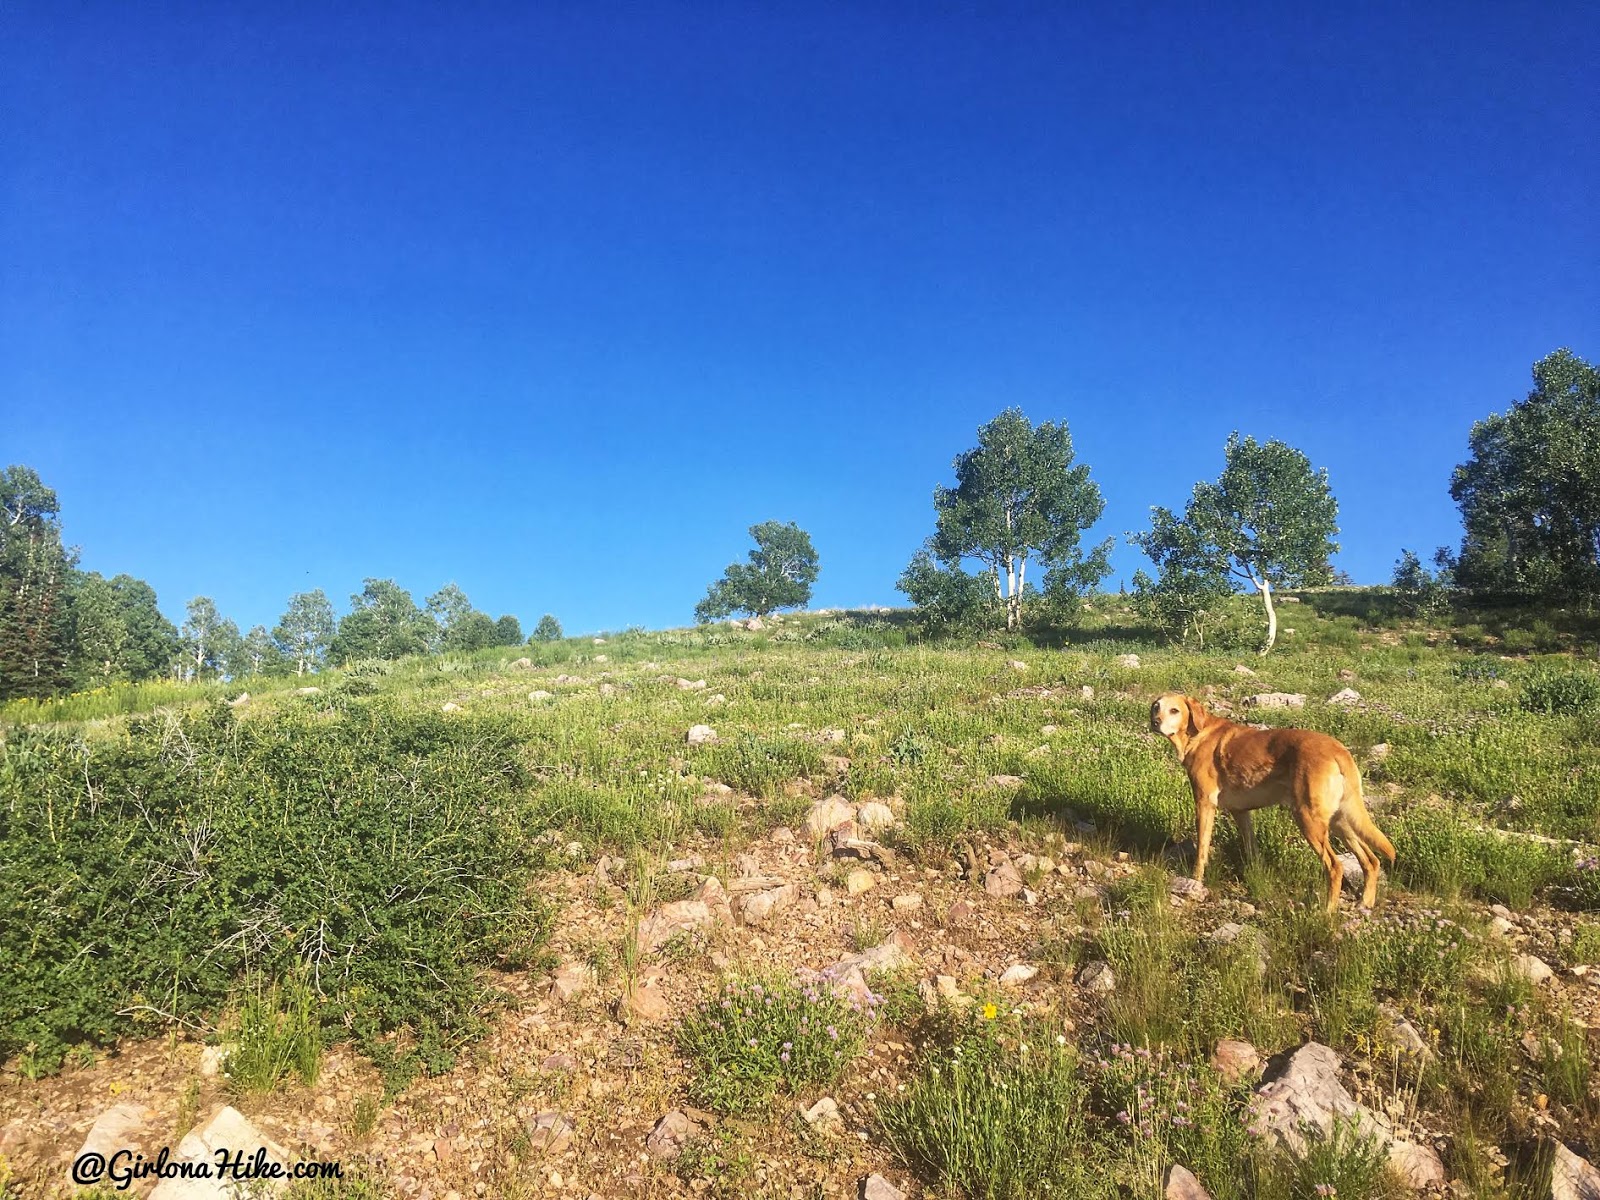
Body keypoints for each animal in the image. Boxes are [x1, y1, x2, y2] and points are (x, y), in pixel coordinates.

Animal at [1158, 694, 1395, 908]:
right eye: (1156, 707)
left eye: (1174, 710)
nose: (1155, 721)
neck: (1197, 733)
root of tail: (1339, 750)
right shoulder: (1241, 812)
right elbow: (1252, 851)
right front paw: (1255, 876)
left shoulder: (1204, 803)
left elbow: (1202, 849)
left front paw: (1195, 880)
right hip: (1340, 821)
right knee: (1371, 860)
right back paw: (1365, 902)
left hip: (1309, 820)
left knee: (1335, 866)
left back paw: (1327, 911)